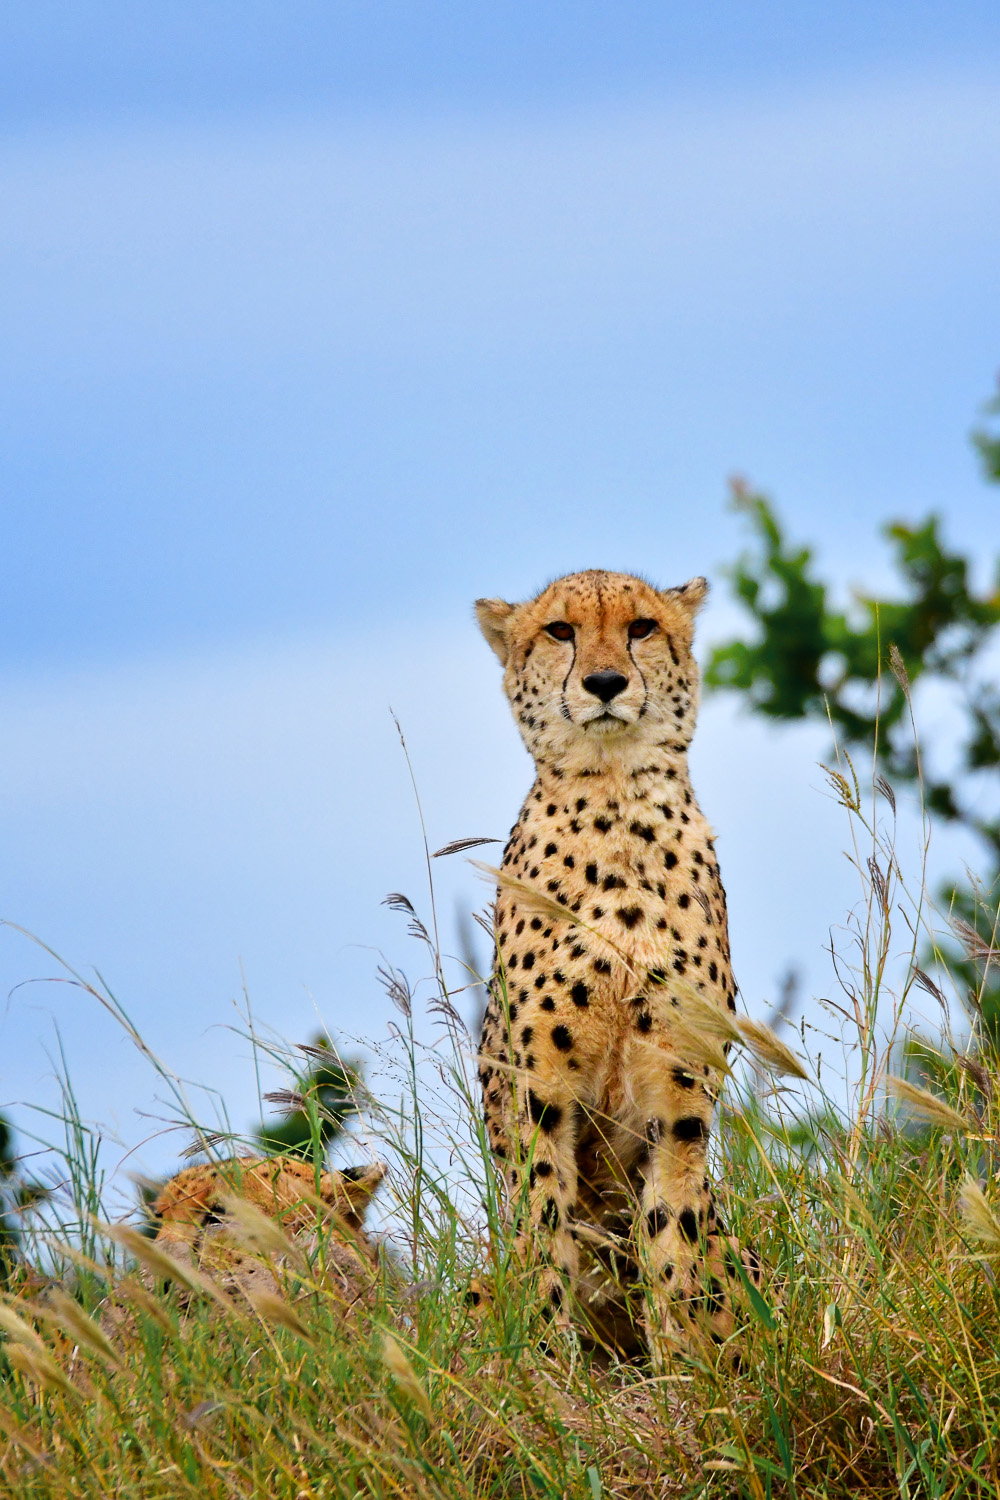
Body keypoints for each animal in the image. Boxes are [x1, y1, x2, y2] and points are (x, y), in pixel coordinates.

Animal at [475, 568, 758, 1365]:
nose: (605, 683)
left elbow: (674, 1234)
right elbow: (544, 1228)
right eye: (560, 631)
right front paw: (549, 1365)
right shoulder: (537, 1090)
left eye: (641, 628)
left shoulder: (680, 1091)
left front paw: (685, 1368)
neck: (614, 793)